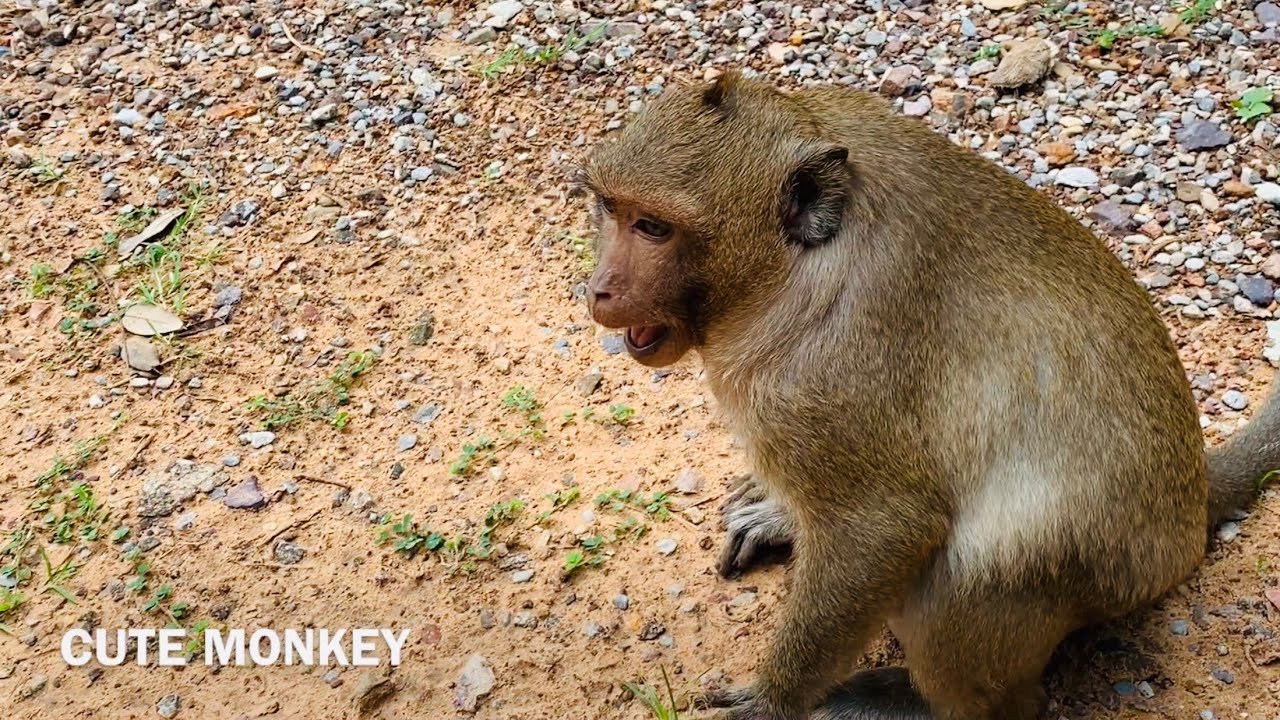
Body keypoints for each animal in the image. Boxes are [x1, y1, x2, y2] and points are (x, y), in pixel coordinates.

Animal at [573, 71, 1280, 720]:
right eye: (610, 208)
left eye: (653, 228)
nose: (600, 287)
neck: (788, 272)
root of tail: (1192, 501)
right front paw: (778, 513)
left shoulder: (813, 383)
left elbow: (883, 528)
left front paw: (773, 701)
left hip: (1106, 579)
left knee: (965, 588)